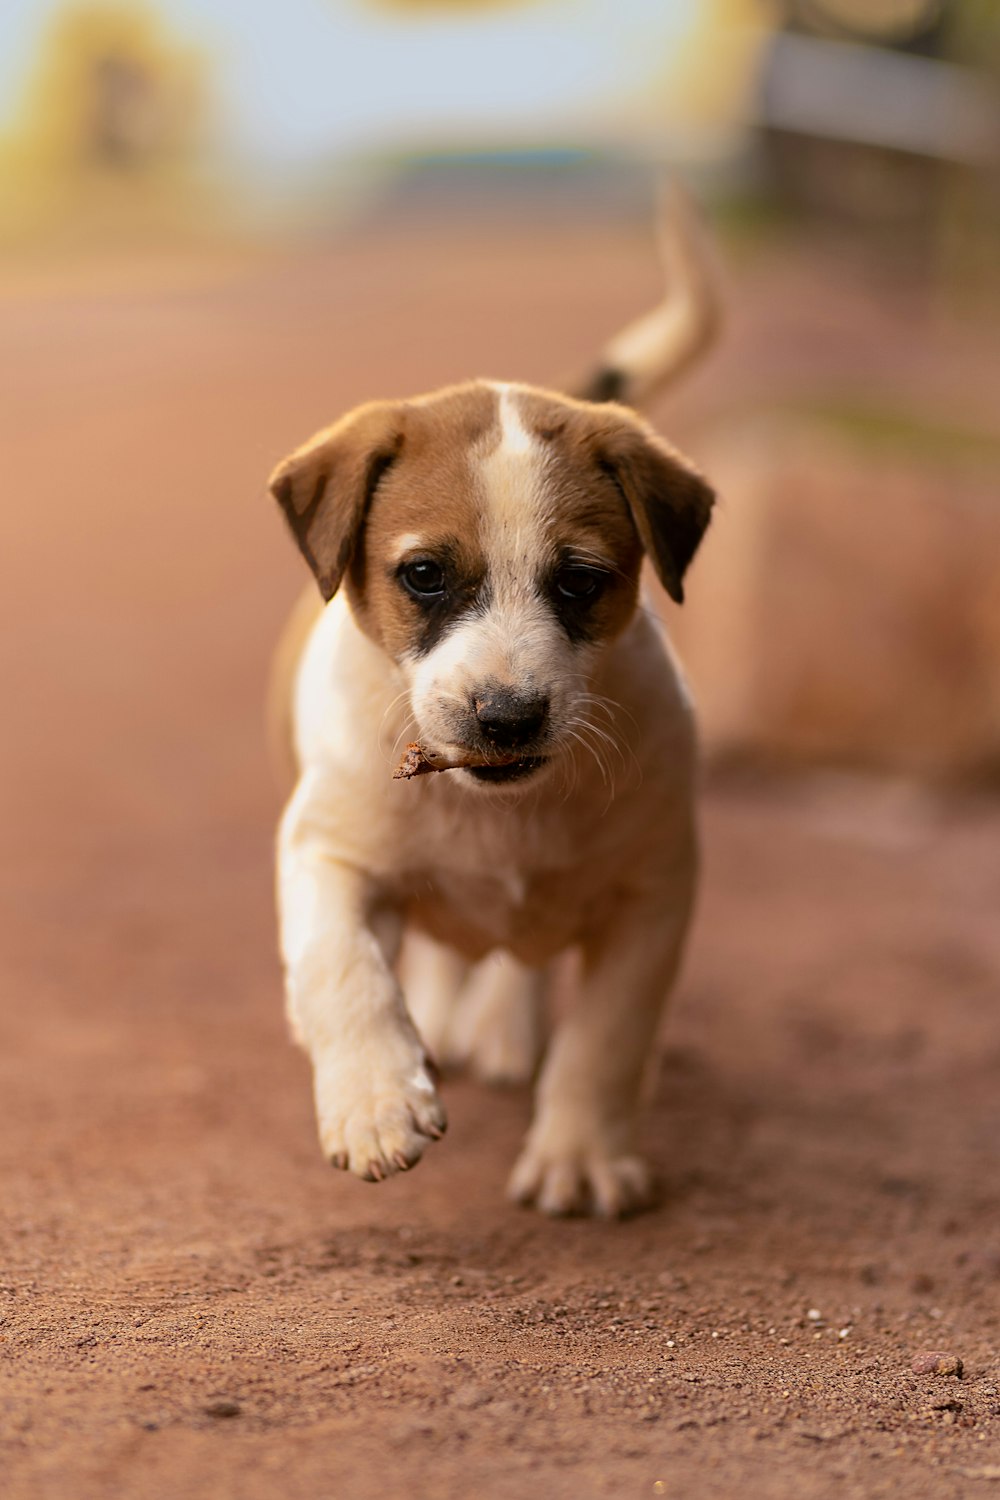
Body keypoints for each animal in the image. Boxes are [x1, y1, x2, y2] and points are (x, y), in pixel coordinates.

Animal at [265, 187, 719, 1218]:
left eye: (582, 582)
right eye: (424, 575)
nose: (506, 719)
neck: (498, 813)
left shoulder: (653, 894)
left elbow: (607, 1037)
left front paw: (580, 1153)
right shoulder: (325, 848)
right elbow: (342, 966)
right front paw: (375, 1100)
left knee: (523, 957)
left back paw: (505, 1025)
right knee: (436, 948)